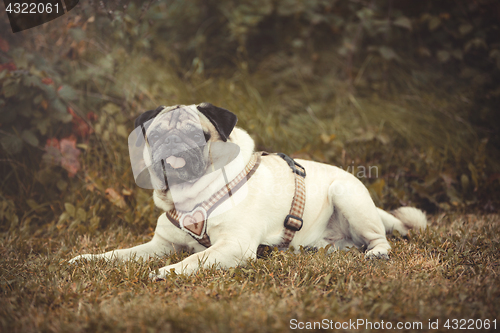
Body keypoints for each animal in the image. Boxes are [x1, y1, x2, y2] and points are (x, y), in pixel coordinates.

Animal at [69, 102, 426, 276]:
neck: (190, 199)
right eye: (155, 136)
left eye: (198, 135)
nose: (172, 142)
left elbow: (195, 259)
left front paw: (169, 271)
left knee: (379, 239)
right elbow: (119, 254)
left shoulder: (233, 246)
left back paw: (376, 253)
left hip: (345, 193)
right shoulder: (159, 245)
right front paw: (89, 259)